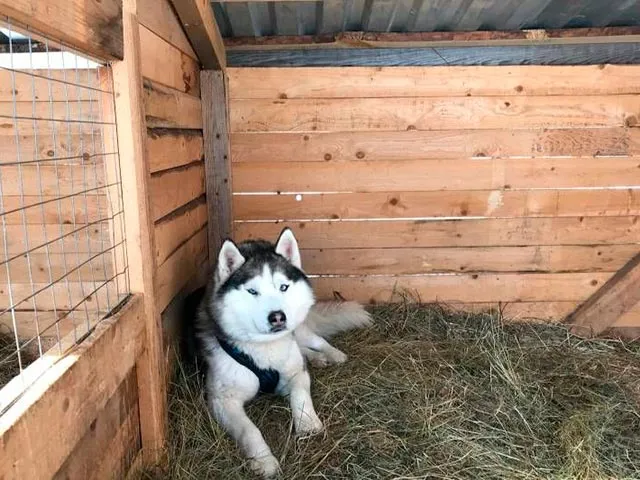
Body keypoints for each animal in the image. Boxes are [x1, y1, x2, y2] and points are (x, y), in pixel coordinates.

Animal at [190, 228, 370, 476]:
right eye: (252, 291)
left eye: (283, 287)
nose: (277, 317)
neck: (265, 348)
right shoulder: (222, 400)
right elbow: (249, 430)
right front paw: (264, 460)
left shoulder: (296, 374)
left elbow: (300, 395)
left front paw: (308, 424)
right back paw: (317, 358)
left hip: (300, 329)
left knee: (316, 340)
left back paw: (332, 354)